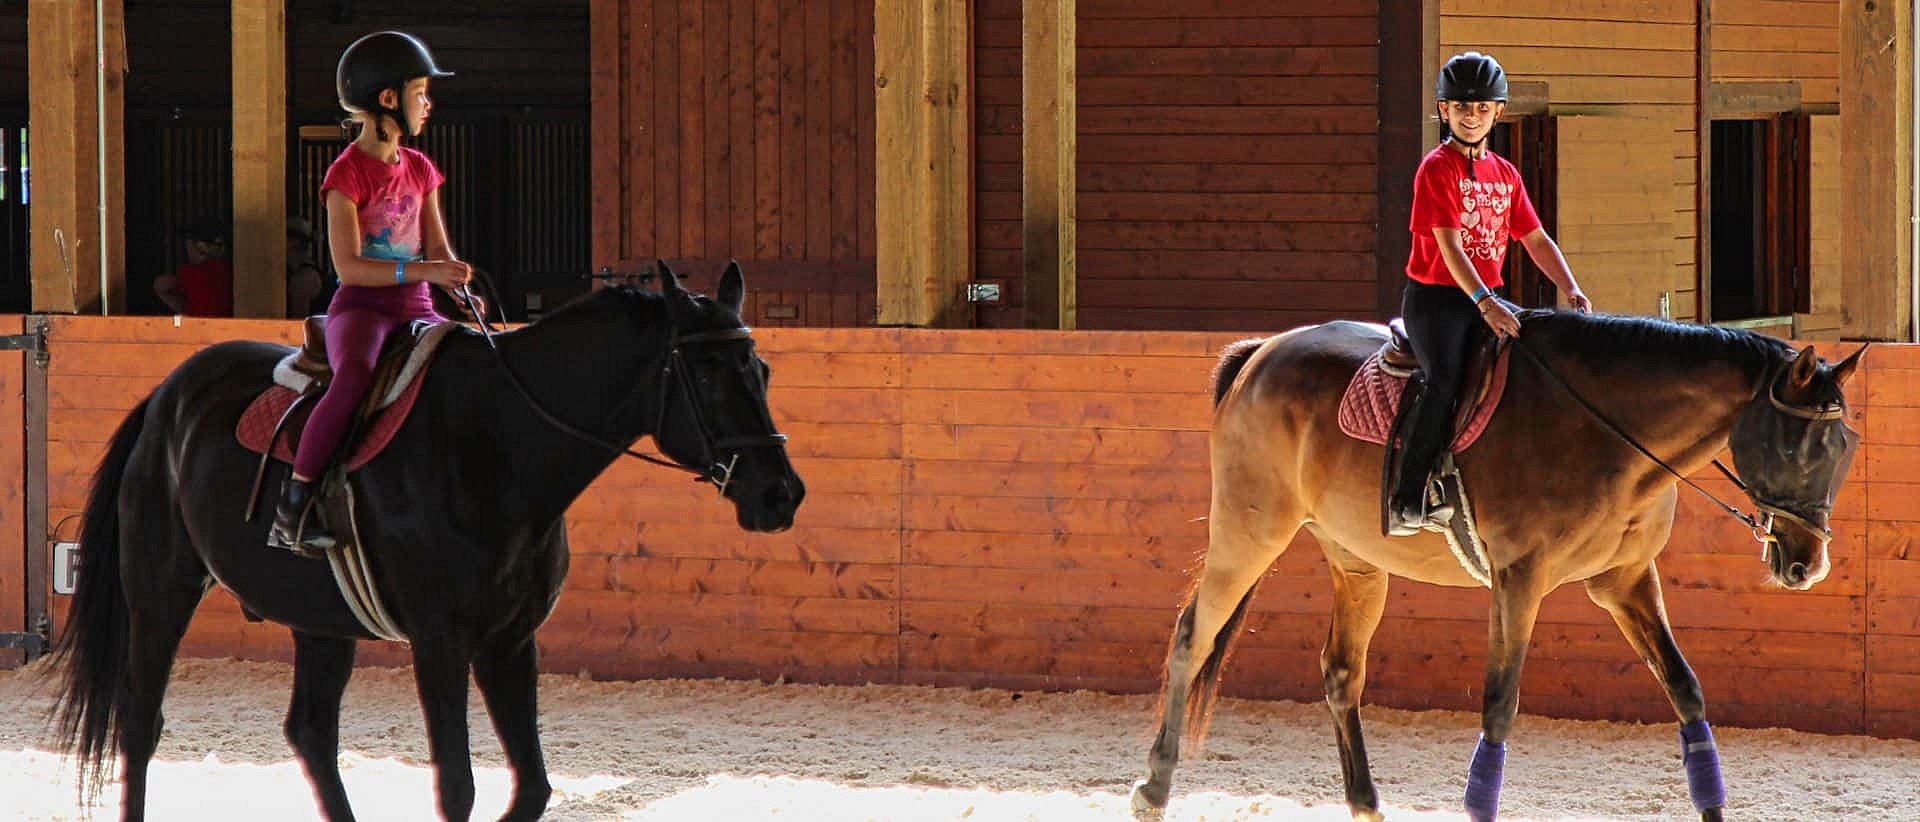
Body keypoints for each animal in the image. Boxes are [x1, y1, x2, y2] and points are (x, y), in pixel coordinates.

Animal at [43, 263, 802, 822]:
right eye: (707, 375)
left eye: (761, 371)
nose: (780, 494)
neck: (499, 443)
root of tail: (168, 396)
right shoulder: (442, 642)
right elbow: (458, 788)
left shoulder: (508, 640)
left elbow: (531, 788)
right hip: (160, 594)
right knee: (140, 725)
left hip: (320, 623)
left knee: (310, 732)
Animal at [1128, 311, 1866, 818]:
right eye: (1799, 445)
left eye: (1844, 447)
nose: (1807, 563)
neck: (1603, 430)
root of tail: (1262, 352)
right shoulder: (1519, 579)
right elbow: (1499, 706)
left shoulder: (1625, 581)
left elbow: (1685, 692)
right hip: (1249, 532)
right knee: (1192, 637)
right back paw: (1154, 787)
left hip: (1357, 563)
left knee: (1340, 672)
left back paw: (1365, 801)